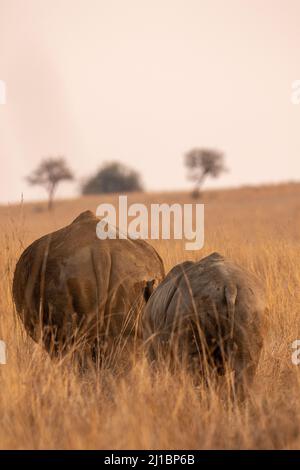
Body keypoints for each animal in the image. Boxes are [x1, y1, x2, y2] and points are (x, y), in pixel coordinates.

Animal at [143, 252, 268, 398]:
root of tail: (230, 285)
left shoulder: (152, 347)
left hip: (192, 306)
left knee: (194, 367)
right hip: (251, 302)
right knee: (245, 365)